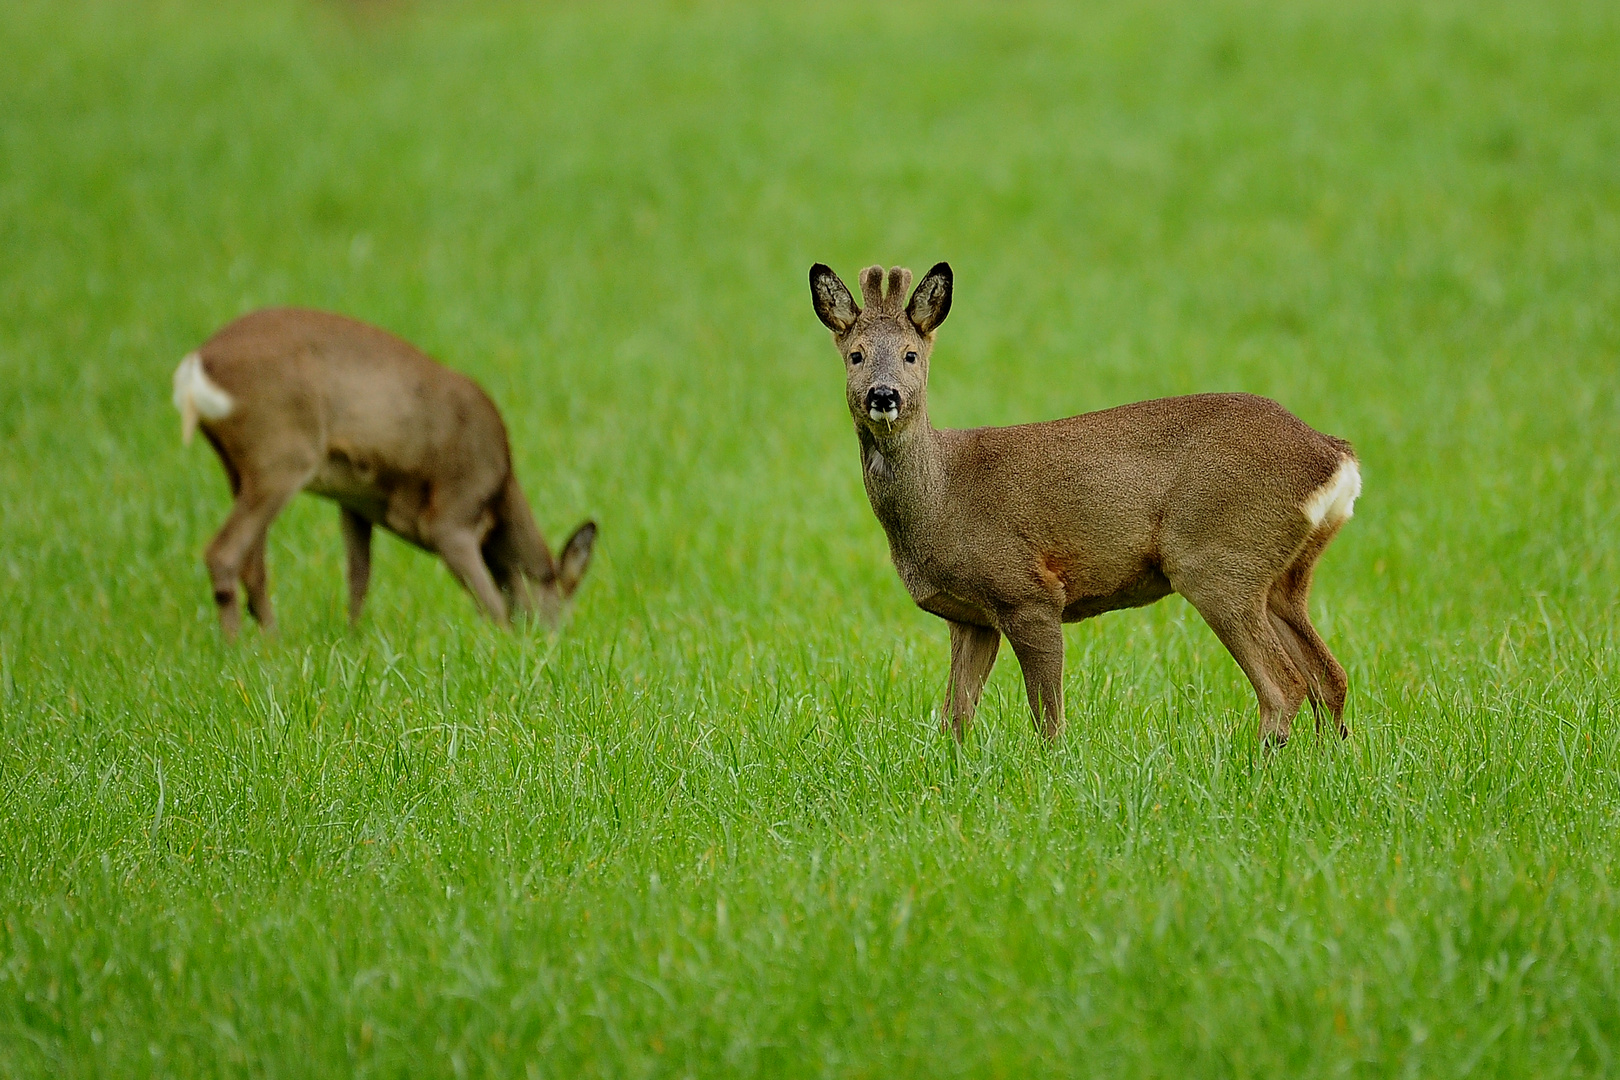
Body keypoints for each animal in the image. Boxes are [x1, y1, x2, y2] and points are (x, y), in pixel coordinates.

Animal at [172, 307, 602, 637]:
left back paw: (270, 644)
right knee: (223, 553)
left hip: (241, 469)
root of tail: (197, 362)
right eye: (561, 610)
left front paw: (353, 639)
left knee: (253, 563)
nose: (555, 639)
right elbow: (490, 601)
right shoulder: (452, 514)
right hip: (282, 453)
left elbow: (359, 577)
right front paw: (507, 643)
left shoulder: (355, 504)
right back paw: (237, 648)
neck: (500, 496)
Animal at [806, 265, 1354, 748]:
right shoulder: (971, 617)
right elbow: (954, 719)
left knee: (1286, 685)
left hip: (1218, 557)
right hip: (1283, 577)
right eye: (855, 355)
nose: (884, 395)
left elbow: (1047, 718)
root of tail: (1334, 455)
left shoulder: (1027, 592)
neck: (940, 498)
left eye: (910, 354)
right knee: (1331, 677)